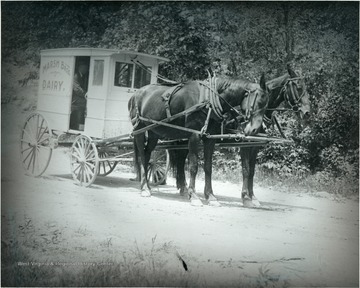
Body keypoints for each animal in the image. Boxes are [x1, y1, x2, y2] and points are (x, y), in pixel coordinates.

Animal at [129, 74, 268, 205]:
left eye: (266, 105)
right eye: (258, 102)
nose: (255, 130)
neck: (208, 99)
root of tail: (135, 93)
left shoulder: (210, 139)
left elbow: (208, 167)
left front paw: (210, 196)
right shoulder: (194, 136)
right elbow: (194, 166)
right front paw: (194, 196)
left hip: (153, 133)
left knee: (148, 155)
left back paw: (147, 185)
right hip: (139, 130)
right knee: (142, 156)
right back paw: (145, 188)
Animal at [169, 65, 310, 207]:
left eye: (306, 88)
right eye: (298, 87)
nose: (307, 113)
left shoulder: (255, 145)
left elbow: (252, 171)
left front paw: (253, 197)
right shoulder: (244, 144)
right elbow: (246, 169)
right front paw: (246, 197)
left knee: (181, 160)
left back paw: (183, 187)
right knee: (181, 160)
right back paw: (184, 189)